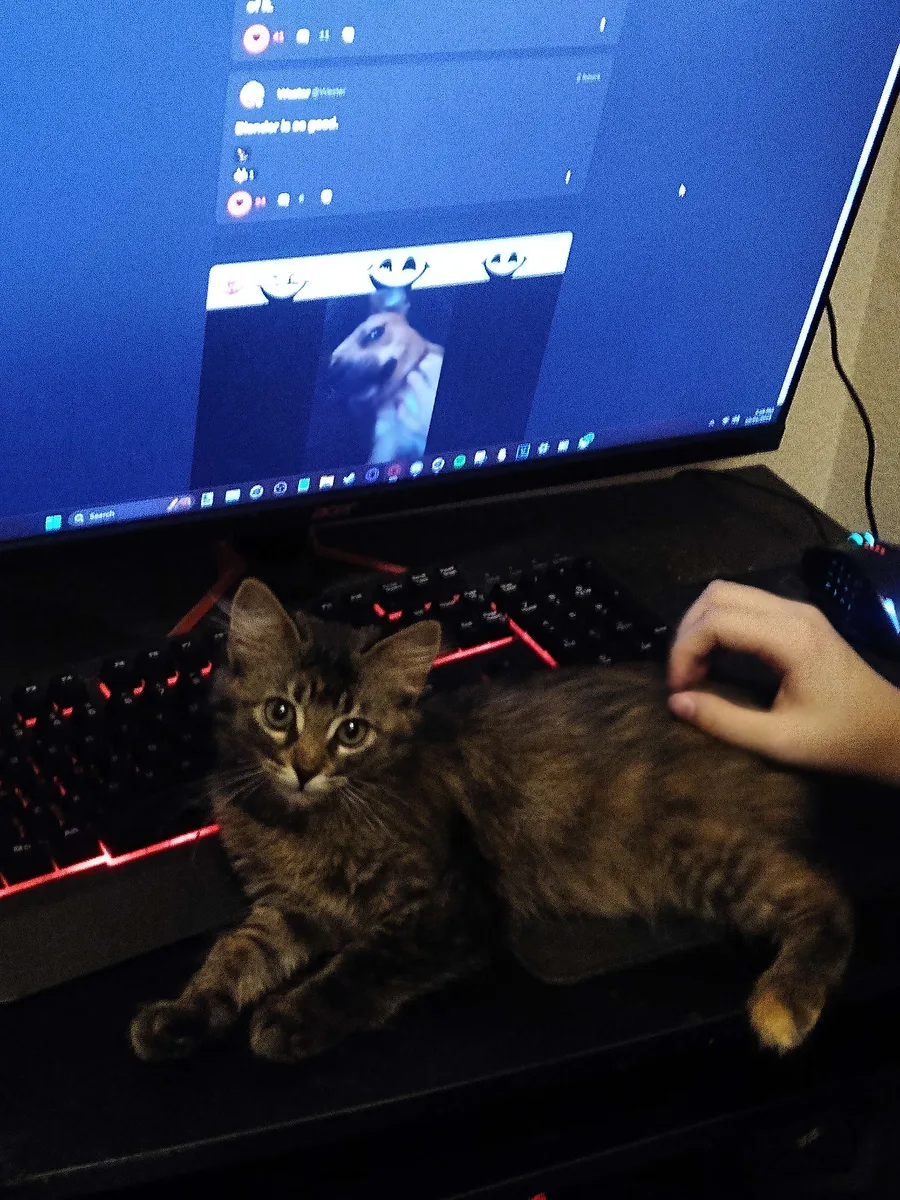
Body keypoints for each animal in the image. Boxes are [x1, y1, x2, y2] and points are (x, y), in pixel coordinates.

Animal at [130, 578, 853, 1064]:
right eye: (280, 713)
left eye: (352, 731)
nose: (305, 768)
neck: (302, 823)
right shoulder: (290, 909)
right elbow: (233, 956)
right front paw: (180, 1015)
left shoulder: (450, 906)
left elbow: (361, 966)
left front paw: (291, 1017)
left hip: (701, 851)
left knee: (828, 898)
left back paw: (784, 1003)